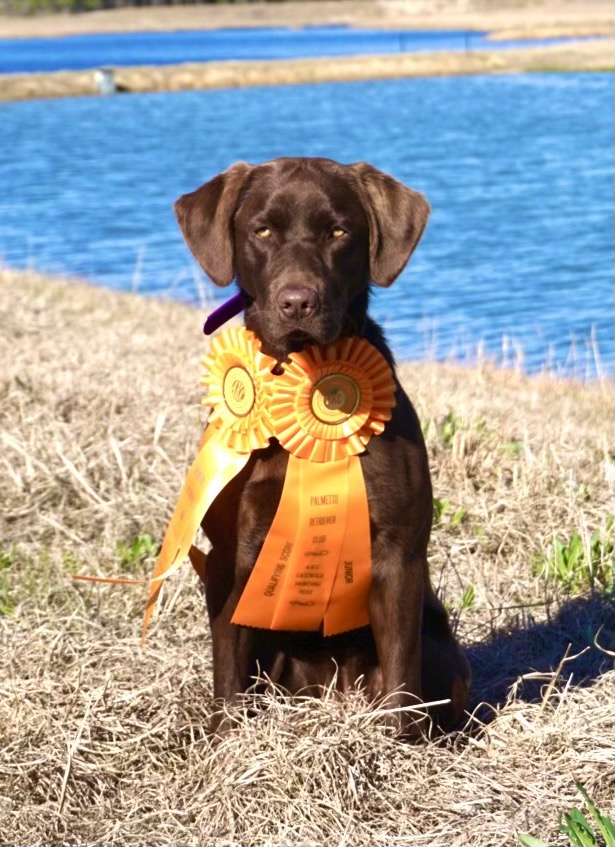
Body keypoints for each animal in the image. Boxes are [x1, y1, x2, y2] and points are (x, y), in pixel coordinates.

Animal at [174, 157, 472, 736]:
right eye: (262, 230)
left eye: (339, 232)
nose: (297, 302)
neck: (302, 379)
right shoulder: (227, 559)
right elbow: (228, 676)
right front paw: (225, 743)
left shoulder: (399, 557)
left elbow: (401, 680)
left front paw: (399, 750)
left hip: (441, 645)